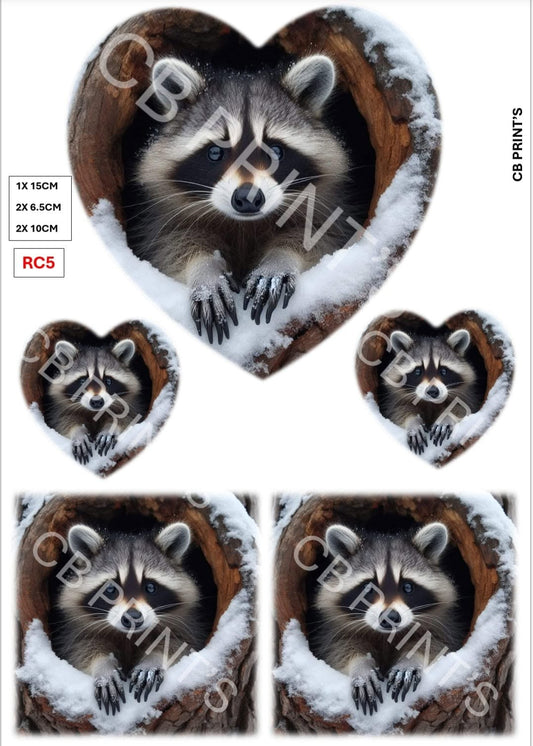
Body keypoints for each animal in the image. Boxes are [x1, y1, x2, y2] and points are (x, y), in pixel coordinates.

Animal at [53, 522, 202, 715]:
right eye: (110, 589)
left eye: (150, 587)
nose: (132, 617)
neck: (129, 635)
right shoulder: (74, 632)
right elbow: (80, 650)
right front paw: (104, 668)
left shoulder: (188, 625)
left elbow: (180, 645)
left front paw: (153, 660)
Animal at [129, 54, 359, 343]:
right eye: (215, 152)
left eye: (275, 151)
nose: (248, 198)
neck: (243, 223)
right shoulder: (161, 218)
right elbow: (171, 245)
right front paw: (205, 273)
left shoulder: (329, 208)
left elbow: (321, 239)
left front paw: (279, 260)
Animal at [312, 522, 459, 715]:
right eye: (368, 588)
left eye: (407, 587)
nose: (390, 617)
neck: (385, 635)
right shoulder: (333, 632)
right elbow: (339, 649)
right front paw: (361, 668)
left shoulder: (444, 625)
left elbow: (436, 644)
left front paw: (409, 660)